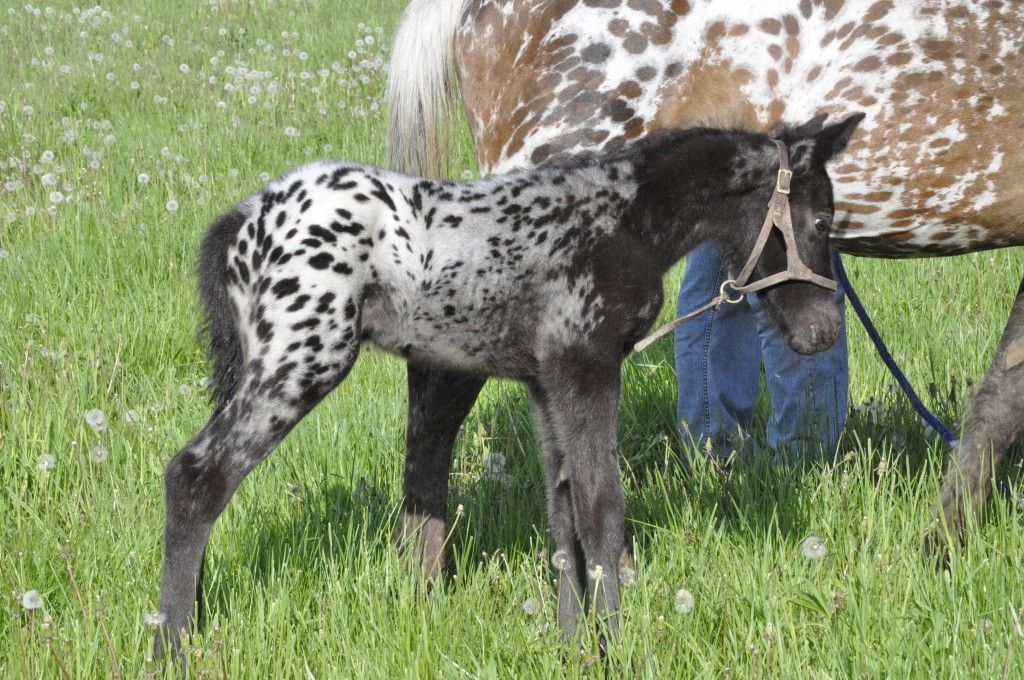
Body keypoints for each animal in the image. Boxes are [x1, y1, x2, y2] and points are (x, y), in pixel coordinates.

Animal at [387, 0, 1024, 569]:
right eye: (821, 221)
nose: (823, 330)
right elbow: (1003, 400)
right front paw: (942, 546)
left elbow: (1000, 393)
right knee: (440, 392)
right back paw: (430, 573)